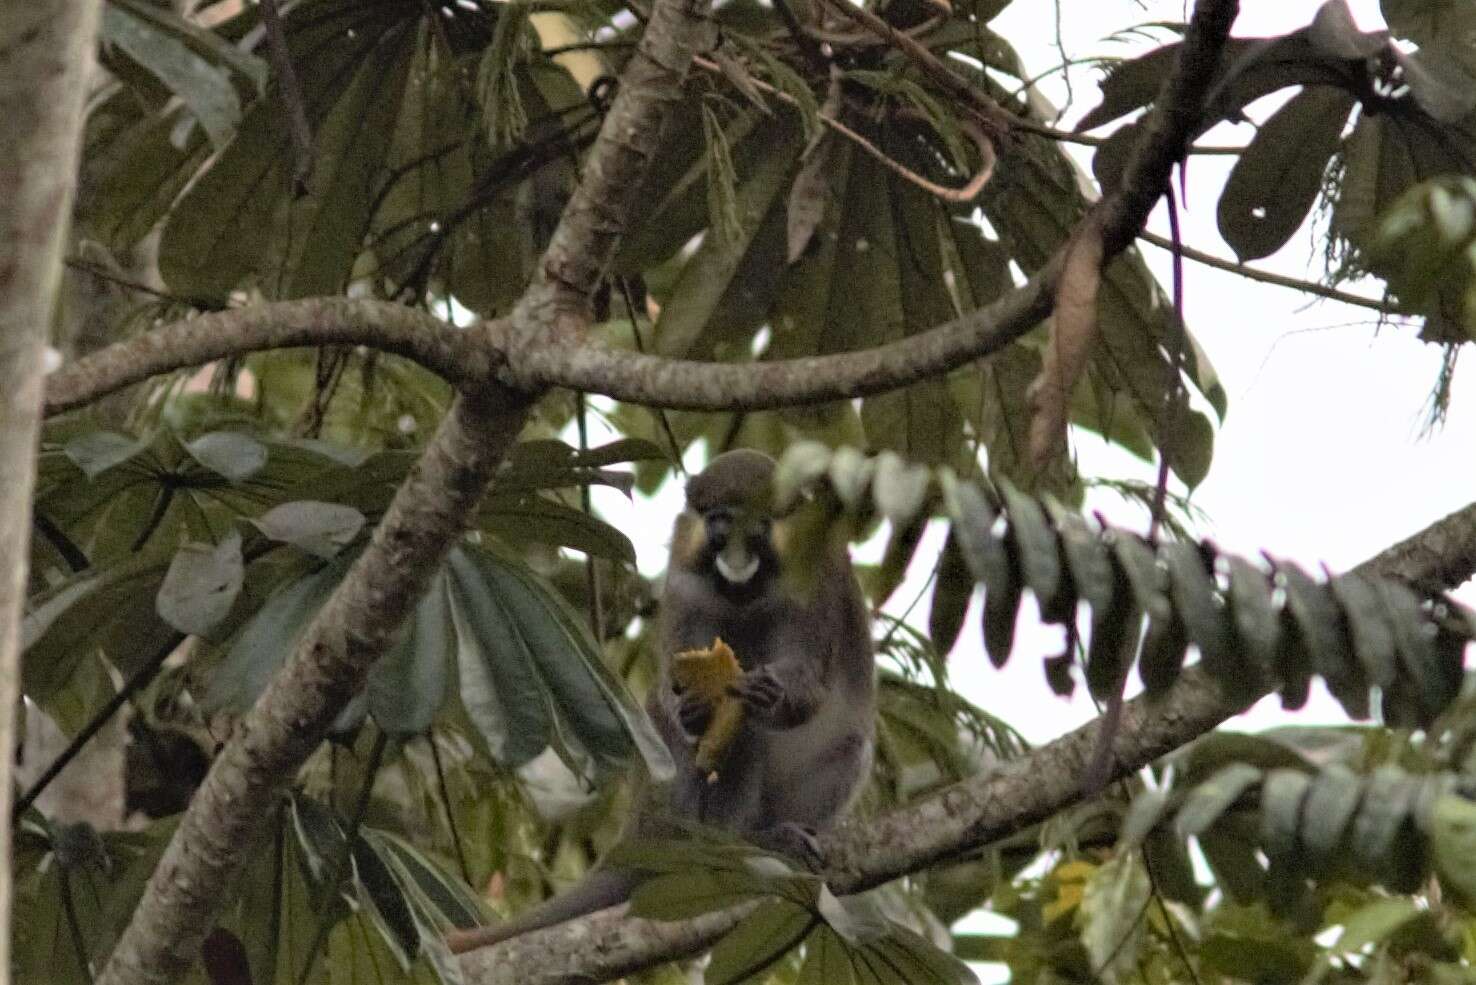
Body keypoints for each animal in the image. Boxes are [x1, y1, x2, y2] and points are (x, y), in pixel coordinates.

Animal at [439, 448, 873, 956]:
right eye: (720, 523)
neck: (747, 593)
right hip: (678, 808)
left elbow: (809, 681)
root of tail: (643, 828)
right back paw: (737, 844)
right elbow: (675, 681)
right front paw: (693, 710)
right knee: (737, 739)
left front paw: (774, 693)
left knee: (846, 746)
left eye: (758, 528)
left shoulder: (817, 584)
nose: (735, 555)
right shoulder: (685, 583)